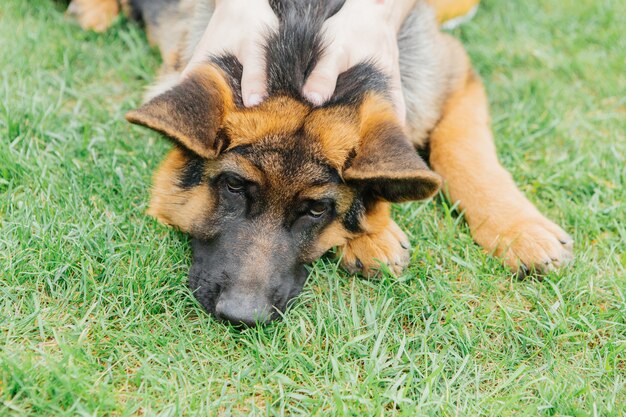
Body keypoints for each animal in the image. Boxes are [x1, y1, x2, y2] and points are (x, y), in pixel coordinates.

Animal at [64, 0, 572, 324]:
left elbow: (463, 152)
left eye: (315, 209)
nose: (241, 317)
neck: (301, 44)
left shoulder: (447, 72)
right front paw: (375, 232)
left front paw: (522, 230)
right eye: (233, 186)